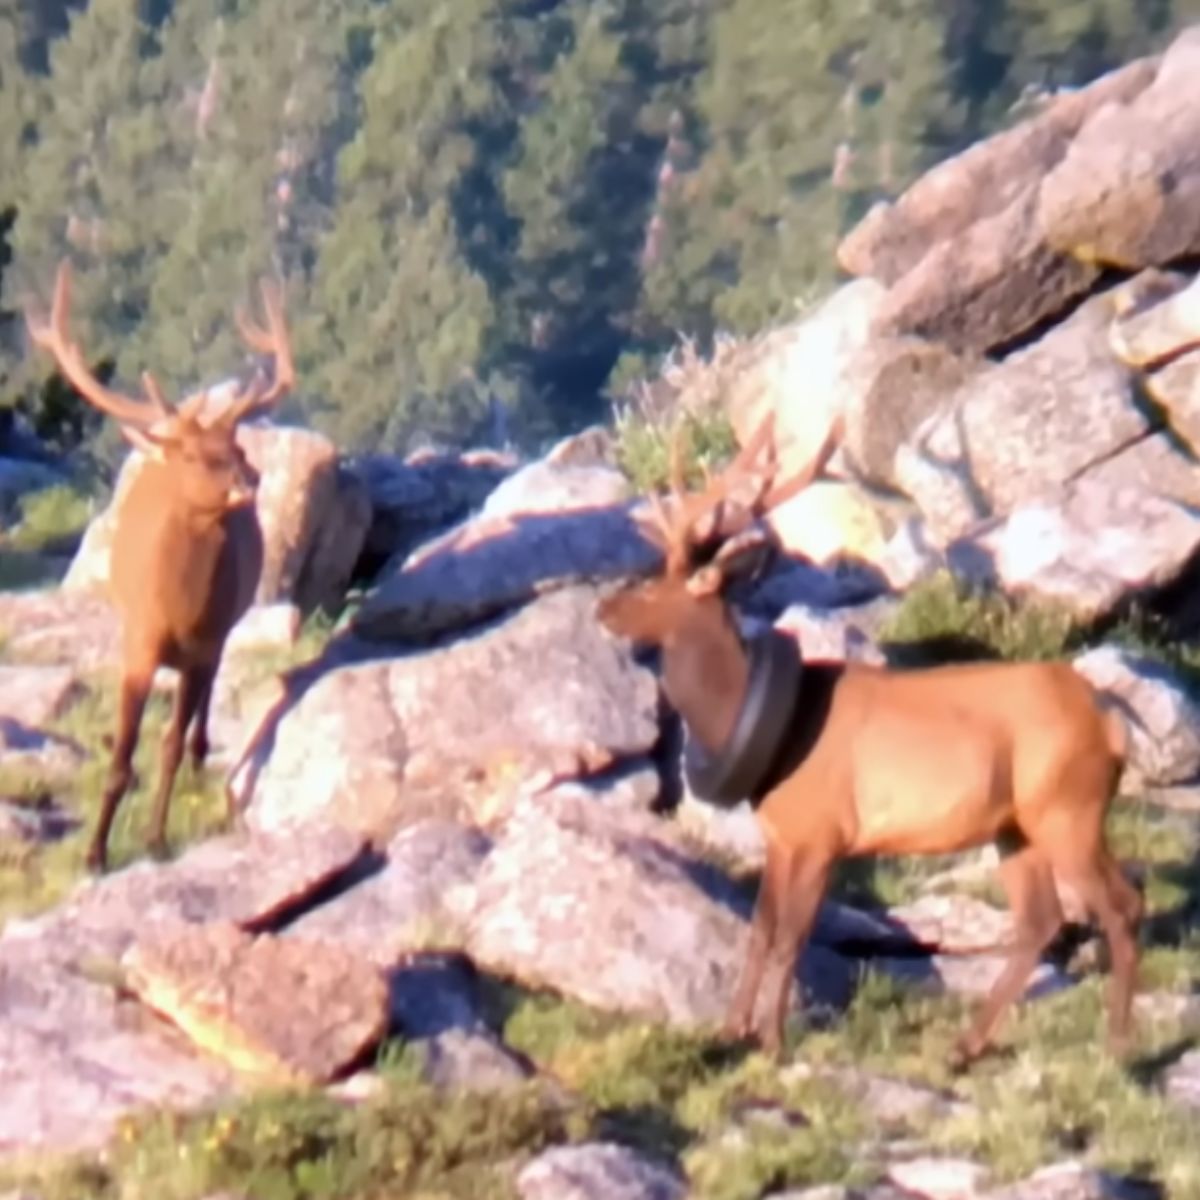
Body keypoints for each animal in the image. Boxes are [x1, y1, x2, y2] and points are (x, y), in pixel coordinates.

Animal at [600, 415, 1142, 1070]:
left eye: (659, 585)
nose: (605, 607)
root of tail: (1110, 722)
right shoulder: (782, 834)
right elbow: (760, 931)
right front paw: (731, 1032)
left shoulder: (823, 833)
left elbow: (791, 937)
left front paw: (773, 1041)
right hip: (1017, 826)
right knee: (1042, 921)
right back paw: (964, 1047)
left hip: (1069, 807)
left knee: (1120, 904)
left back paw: (1117, 1048)